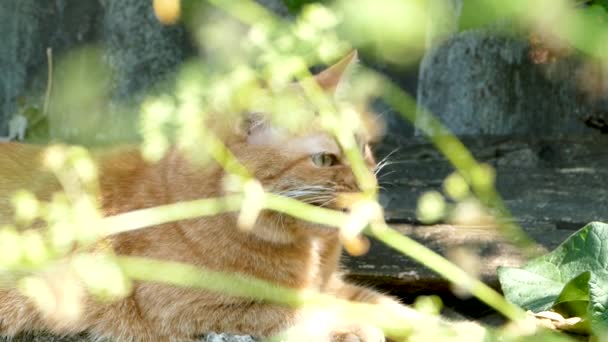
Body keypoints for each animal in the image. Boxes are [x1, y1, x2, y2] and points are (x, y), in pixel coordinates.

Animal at [0, 52, 410, 340]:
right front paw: (353, 326)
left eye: (362, 147)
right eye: (325, 159)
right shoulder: (195, 307)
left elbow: (384, 303)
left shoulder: (331, 285)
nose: (369, 185)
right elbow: (297, 313)